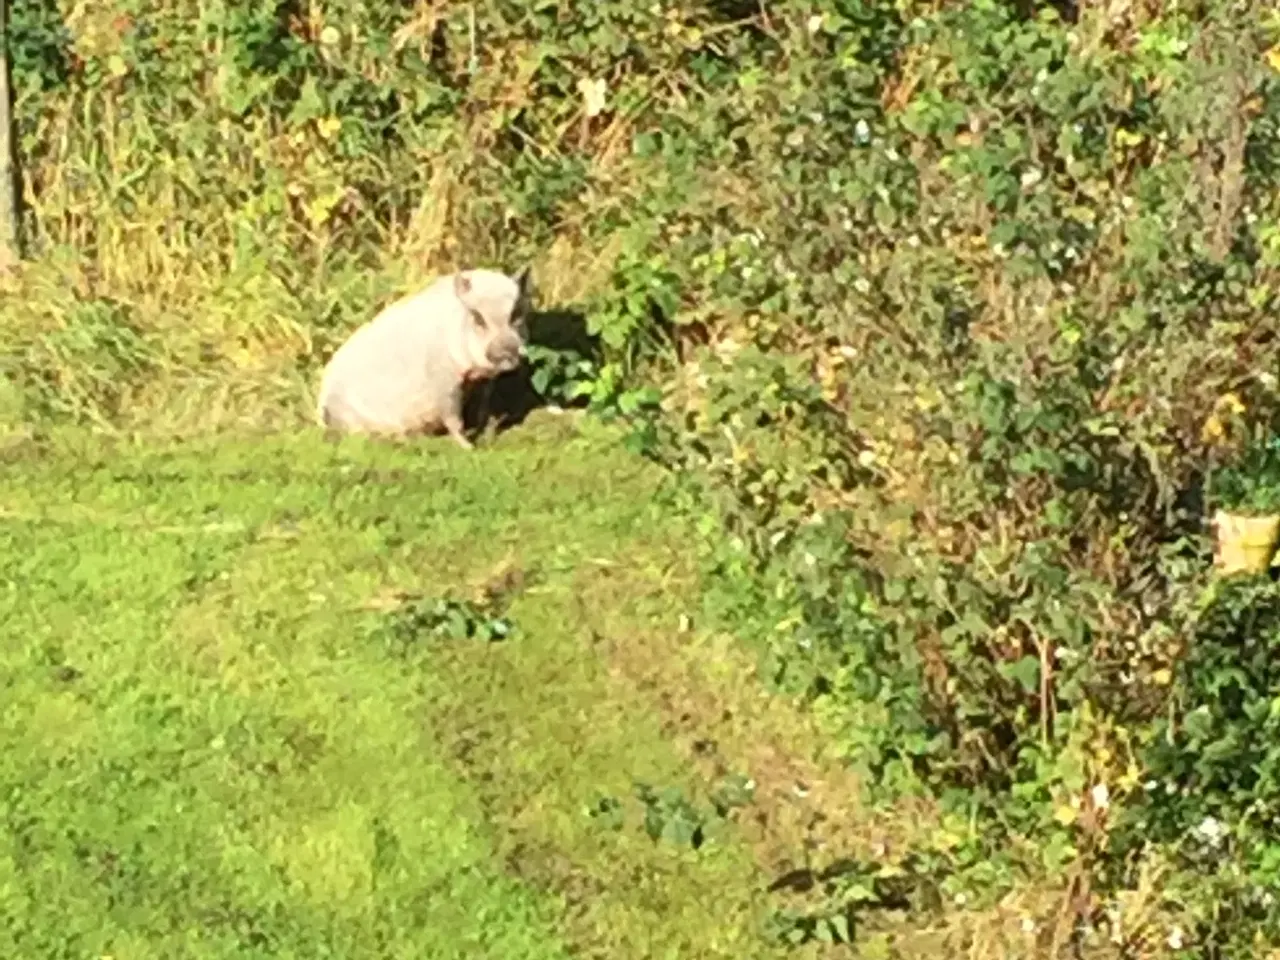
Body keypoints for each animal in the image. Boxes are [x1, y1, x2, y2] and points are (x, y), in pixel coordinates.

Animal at [314, 264, 529, 450]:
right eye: (478, 318)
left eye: (515, 314)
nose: (506, 351)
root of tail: (321, 411)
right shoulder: (443, 382)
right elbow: (453, 418)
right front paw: (469, 448)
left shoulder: (484, 381)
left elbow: (483, 409)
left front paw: (486, 438)